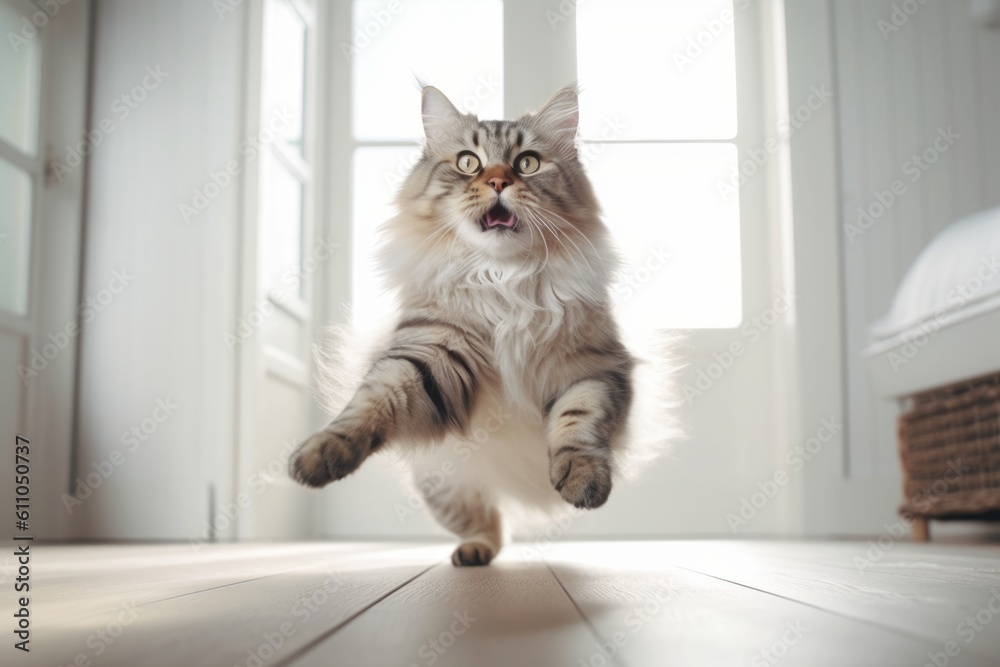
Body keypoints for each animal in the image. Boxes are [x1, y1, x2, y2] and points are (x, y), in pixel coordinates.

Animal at [292, 82, 664, 564]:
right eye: (469, 162)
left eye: (528, 163)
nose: (499, 182)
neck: (504, 280)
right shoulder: (428, 355)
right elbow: (366, 406)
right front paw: (318, 455)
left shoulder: (592, 368)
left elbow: (577, 424)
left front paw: (583, 479)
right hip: (446, 487)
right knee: (488, 522)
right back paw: (472, 554)